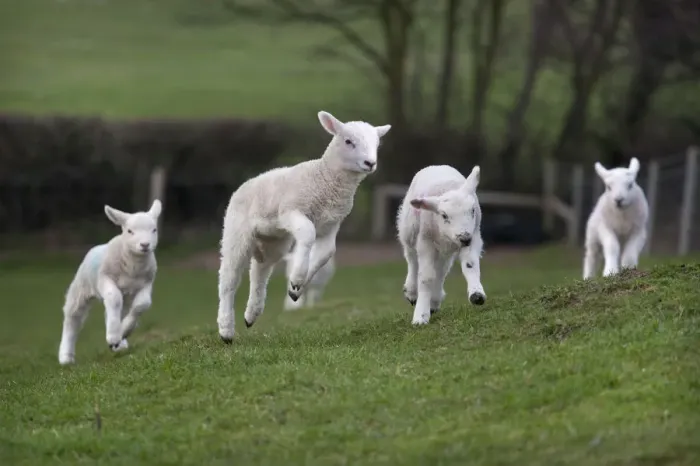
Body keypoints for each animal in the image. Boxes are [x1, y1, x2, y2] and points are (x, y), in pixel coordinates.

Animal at [57, 200, 162, 365]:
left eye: (154, 229)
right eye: (130, 231)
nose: (145, 245)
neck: (132, 267)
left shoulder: (146, 283)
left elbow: (142, 304)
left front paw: (123, 331)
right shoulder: (105, 278)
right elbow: (114, 297)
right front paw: (113, 336)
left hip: (126, 296)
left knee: (117, 310)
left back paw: (119, 342)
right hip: (81, 287)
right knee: (73, 318)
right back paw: (66, 357)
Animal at [217, 110, 391, 342]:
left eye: (377, 143)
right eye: (348, 141)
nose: (370, 163)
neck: (325, 180)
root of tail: (243, 186)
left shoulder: (331, 224)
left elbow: (326, 253)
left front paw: (295, 289)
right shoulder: (291, 210)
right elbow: (307, 234)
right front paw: (297, 278)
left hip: (273, 241)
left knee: (260, 272)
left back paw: (251, 314)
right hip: (237, 232)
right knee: (229, 279)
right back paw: (226, 329)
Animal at [396, 165, 486, 326]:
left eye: (472, 210)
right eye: (444, 215)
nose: (465, 238)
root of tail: (437, 166)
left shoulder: (473, 236)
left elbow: (470, 265)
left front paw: (476, 294)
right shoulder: (425, 241)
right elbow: (426, 277)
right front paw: (420, 316)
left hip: (447, 248)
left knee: (441, 270)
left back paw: (434, 301)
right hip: (409, 230)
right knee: (411, 258)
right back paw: (412, 292)